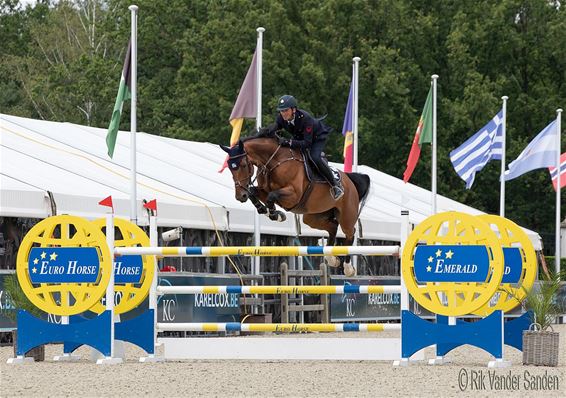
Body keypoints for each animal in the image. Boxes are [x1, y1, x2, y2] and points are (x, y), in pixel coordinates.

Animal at [222, 135, 372, 276]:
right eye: (230, 167)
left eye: (243, 165)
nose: (240, 196)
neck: (274, 162)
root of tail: (349, 180)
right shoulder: (265, 191)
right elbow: (254, 192)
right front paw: (269, 211)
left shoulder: (293, 195)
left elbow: (272, 196)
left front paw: (276, 215)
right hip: (312, 217)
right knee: (333, 227)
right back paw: (331, 259)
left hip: (346, 215)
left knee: (350, 233)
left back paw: (348, 268)